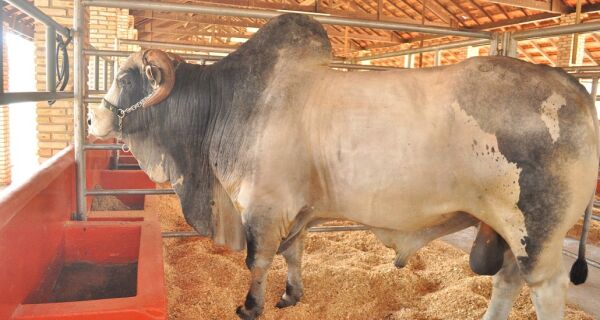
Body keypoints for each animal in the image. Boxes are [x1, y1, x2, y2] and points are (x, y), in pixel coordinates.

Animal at [86, 13, 596, 320]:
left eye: (125, 77)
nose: (93, 118)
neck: (227, 106)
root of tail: (577, 91)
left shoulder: (262, 208)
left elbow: (258, 261)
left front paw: (251, 306)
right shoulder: (297, 211)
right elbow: (293, 254)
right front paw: (291, 295)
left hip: (537, 235)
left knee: (546, 291)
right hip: (506, 232)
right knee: (507, 282)